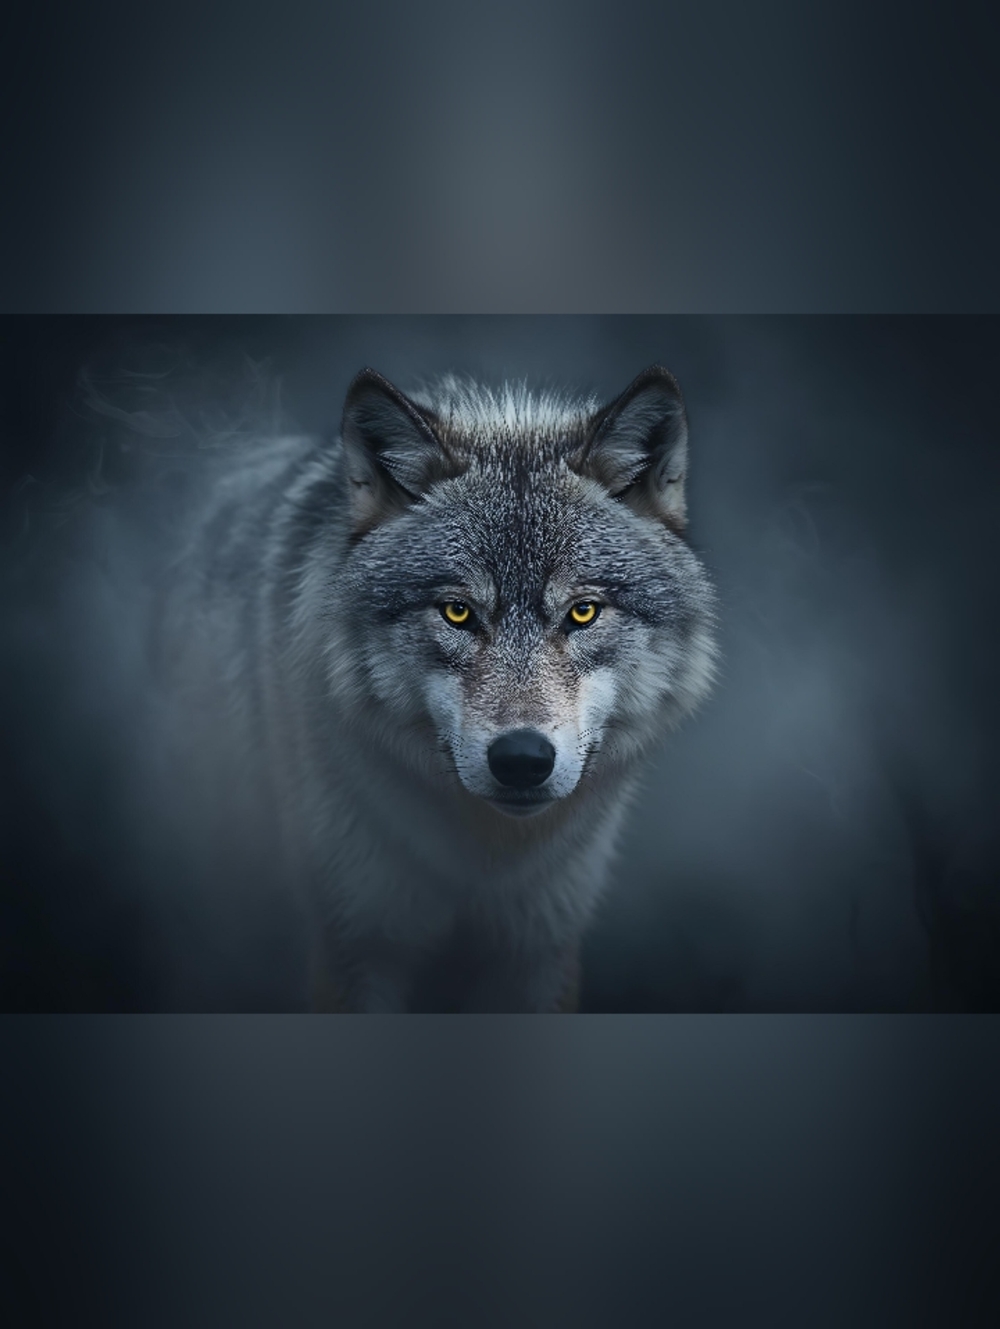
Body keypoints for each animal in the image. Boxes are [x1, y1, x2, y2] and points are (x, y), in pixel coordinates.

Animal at [158, 363, 718, 1012]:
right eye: (457, 612)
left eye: (582, 612)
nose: (521, 760)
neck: (487, 857)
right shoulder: (356, 947)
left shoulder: (539, 947)